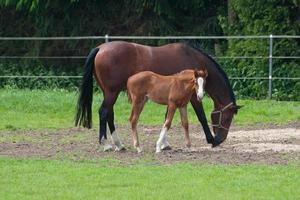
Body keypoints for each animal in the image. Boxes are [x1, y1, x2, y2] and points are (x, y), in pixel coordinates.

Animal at [75, 41, 241, 152]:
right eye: (227, 118)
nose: (220, 139)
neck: (192, 59)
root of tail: (100, 48)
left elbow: (167, 118)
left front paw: (164, 144)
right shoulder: (193, 98)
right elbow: (201, 117)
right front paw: (210, 139)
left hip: (109, 93)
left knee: (109, 114)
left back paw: (119, 145)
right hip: (111, 92)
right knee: (104, 112)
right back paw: (107, 144)